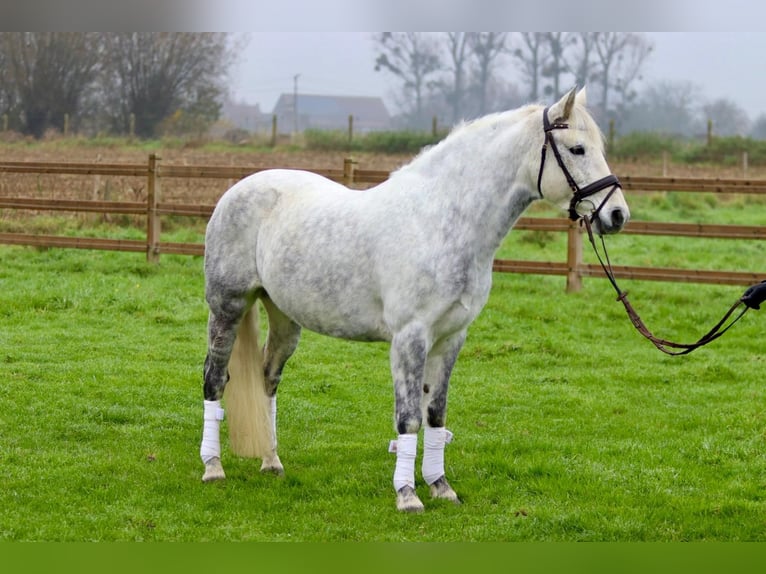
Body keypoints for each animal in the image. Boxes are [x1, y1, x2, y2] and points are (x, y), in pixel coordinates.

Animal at [201, 86, 632, 512]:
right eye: (577, 149)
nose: (617, 215)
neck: (441, 221)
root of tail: (237, 191)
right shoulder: (410, 337)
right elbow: (408, 417)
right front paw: (407, 495)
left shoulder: (451, 337)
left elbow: (435, 414)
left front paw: (440, 486)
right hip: (228, 307)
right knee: (214, 378)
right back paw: (213, 468)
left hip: (284, 318)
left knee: (267, 378)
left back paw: (271, 461)